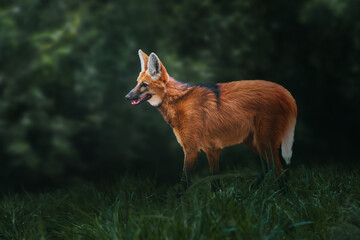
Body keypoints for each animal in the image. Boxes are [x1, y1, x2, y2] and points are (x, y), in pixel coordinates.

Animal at [125, 50, 296, 191]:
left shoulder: (192, 149)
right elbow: (215, 183)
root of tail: (286, 92)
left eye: (144, 85)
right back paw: (251, 191)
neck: (177, 101)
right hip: (253, 141)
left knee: (280, 171)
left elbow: (184, 183)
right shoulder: (211, 149)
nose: (127, 96)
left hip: (264, 141)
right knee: (269, 167)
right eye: (137, 83)